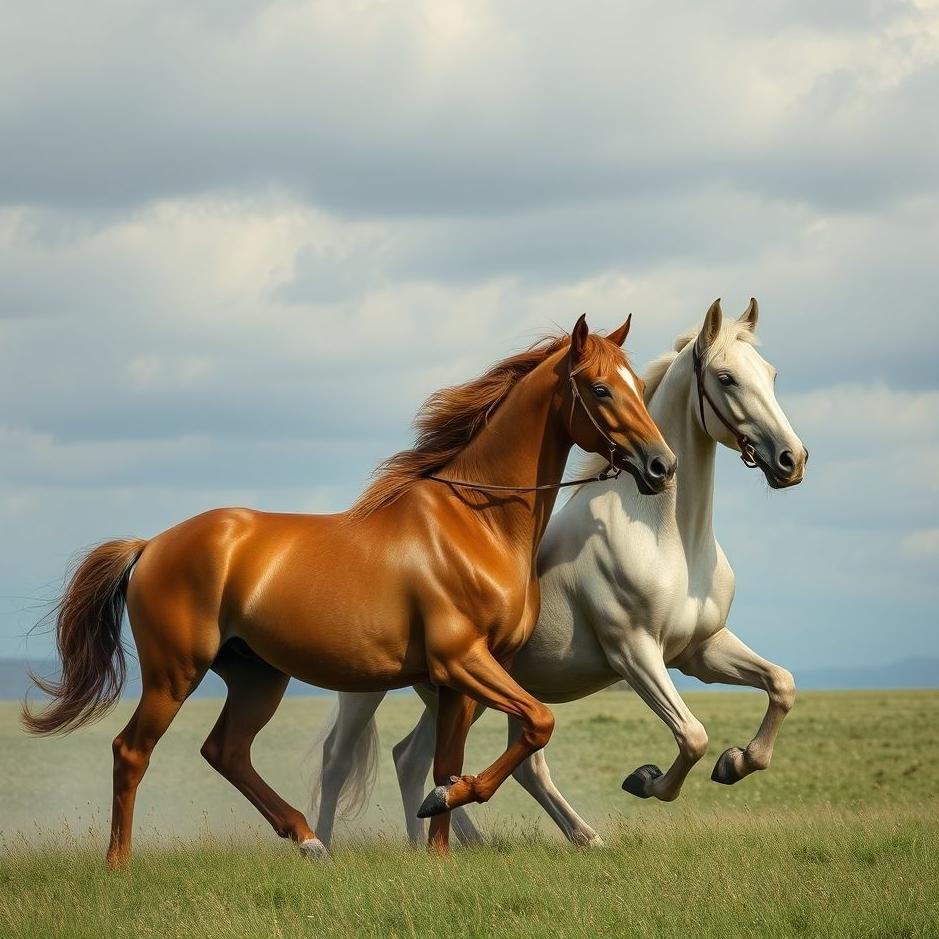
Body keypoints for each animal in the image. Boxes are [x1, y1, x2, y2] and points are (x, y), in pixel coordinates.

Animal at [23, 314, 676, 865]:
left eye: (635, 384)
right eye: (600, 389)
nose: (660, 466)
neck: (476, 523)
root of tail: (151, 545)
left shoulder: (459, 678)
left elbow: (446, 762)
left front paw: (439, 843)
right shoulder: (462, 660)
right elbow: (537, 723)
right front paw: (445, 809)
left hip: (257, 677)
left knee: (226, 751)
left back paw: (309, 839)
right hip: (173, 673)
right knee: (132, 751)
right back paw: (119, 864)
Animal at [311, 298, 807, 848]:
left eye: (771, 374)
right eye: (726, 378)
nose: (791, 459)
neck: (669, 540)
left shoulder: (700, 649)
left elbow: (781, 685)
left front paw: (736, 762)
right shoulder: (635, 653)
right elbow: (692, 735)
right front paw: (646, 779)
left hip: (454, 690)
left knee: (421, 759)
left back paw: (503, 838)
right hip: (373, 688)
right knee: (344, 761)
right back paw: (330, 845)